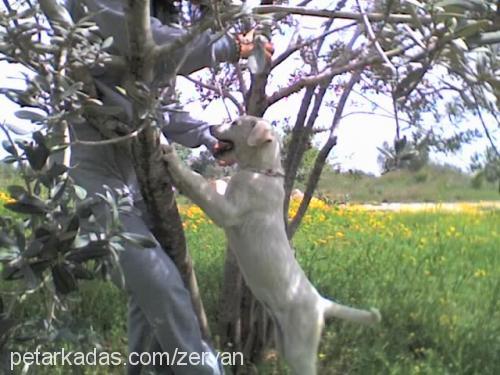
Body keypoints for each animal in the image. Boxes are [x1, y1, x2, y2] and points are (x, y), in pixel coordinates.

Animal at [162, 116, 380, 374]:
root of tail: (321, 303)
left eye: (235, 123)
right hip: (284, 343)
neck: (259, 172)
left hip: (299, 350)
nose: (212, 127)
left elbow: (199, 184)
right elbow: (216, 184)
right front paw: (216, 178)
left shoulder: (226, 211)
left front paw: (173, 159)